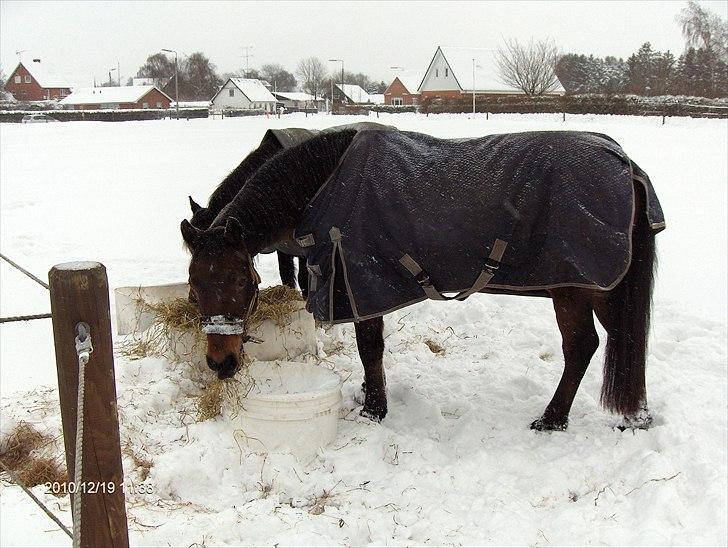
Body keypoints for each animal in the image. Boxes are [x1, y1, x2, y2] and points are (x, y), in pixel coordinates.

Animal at [181, 128, 660, 432]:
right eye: (194, 290)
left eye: (244, 283)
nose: (221, 363)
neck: (324, 181)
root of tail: (627, 165)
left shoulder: (362, 282)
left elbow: (370, 349)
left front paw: (374, 409)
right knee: (619, 341)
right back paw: (634, 417)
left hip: (578, 288)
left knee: (582, 347)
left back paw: (553, 419)